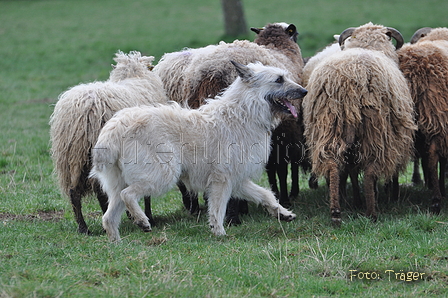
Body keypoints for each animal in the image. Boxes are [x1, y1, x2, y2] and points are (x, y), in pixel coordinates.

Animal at [49, 50, 168, 234]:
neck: (134, 76)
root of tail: (83, 112)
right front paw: (147, 217)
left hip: (72, 157)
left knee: (74, 192)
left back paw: (83, 227)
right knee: (101, 191)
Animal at [91, 61, 308, 242]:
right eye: (279, 80)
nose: (304, 91)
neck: (246, 111)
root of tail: (116, 127)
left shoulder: (238, 180)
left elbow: (265, 194)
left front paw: (282, 213)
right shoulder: (221, 179)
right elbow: (218, 208)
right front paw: (219, 232)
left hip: (120, 183)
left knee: (109, 216)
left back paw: (117, 245)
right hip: (161, 175)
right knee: (127, 195)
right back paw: (141, 220)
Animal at [302, 22, 418, 224]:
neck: (367, 47)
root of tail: (351, 78)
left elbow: (352, 171)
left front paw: (355, 200)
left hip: (329, 124)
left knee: (333, 165)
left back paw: (336, 213)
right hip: (375, 128)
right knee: (370, 169)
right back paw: (372, 212)